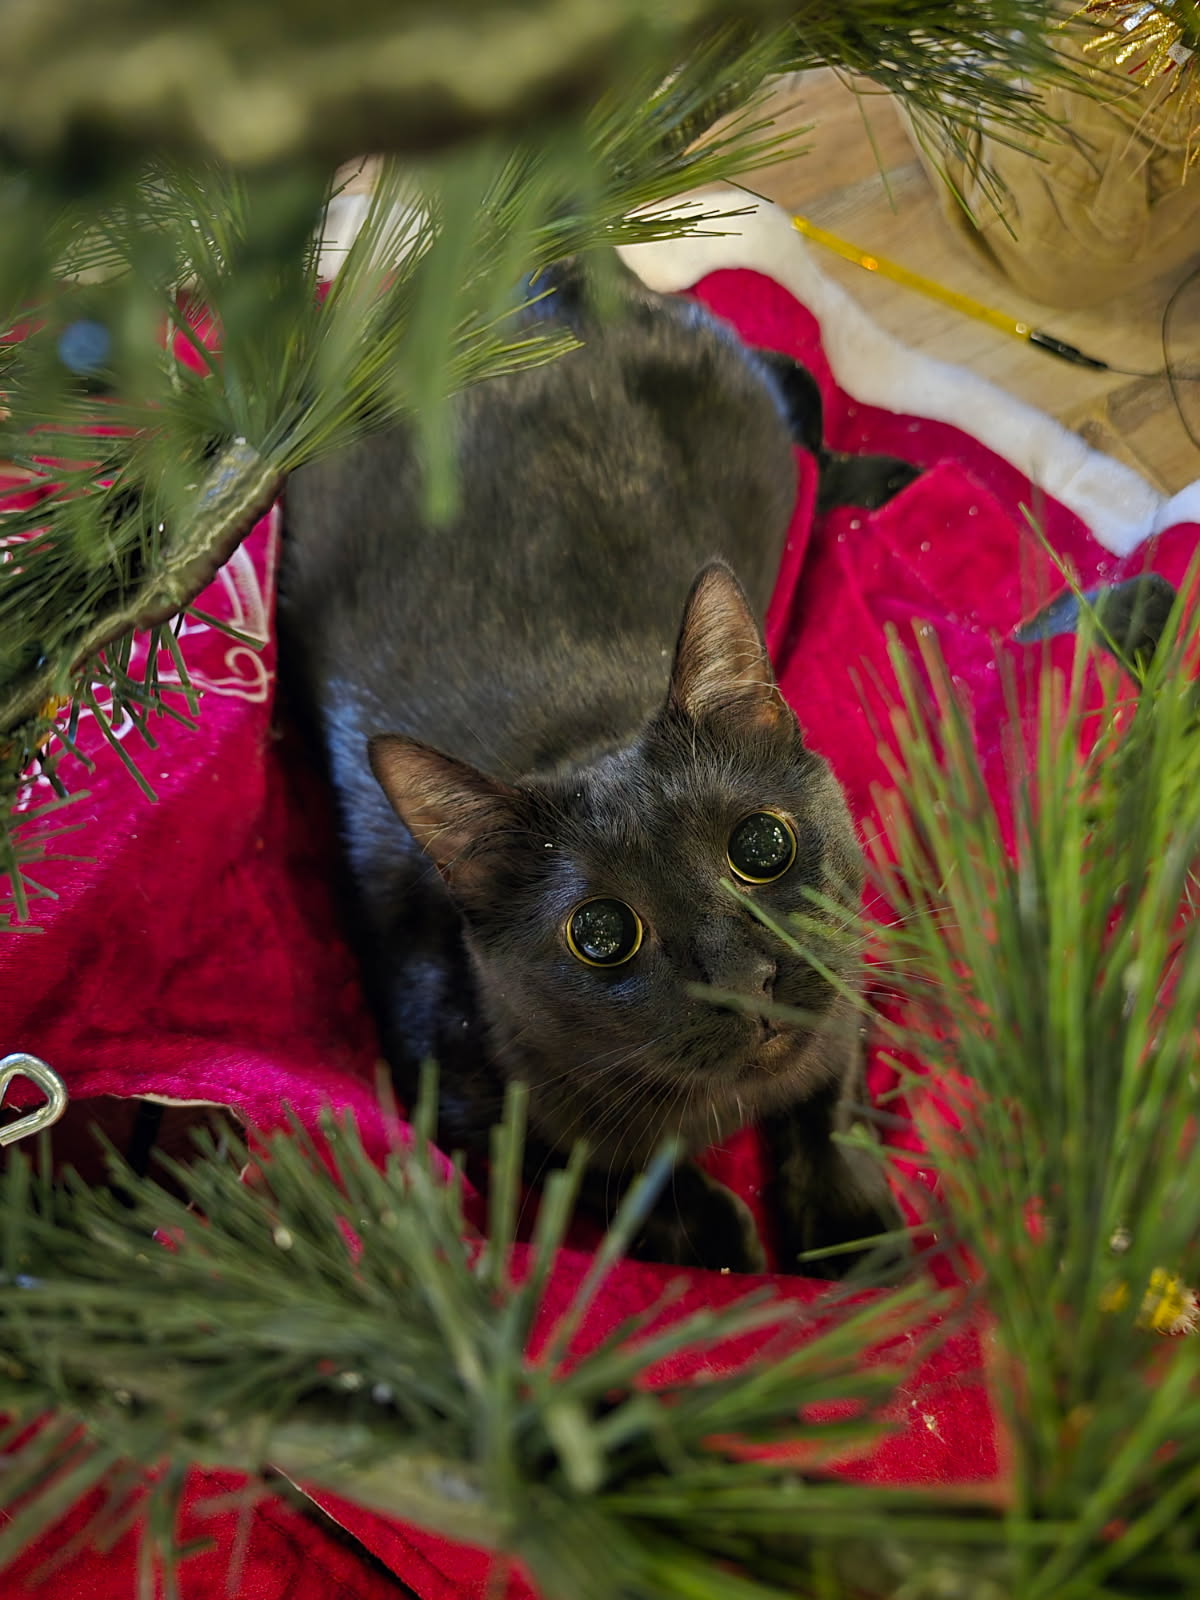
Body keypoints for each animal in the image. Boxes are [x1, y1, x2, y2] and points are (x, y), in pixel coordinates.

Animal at [278, 261, 915, 1275]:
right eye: (602, 934)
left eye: (763, 847)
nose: (744, 977)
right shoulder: (455, 1081)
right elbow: (602, 1168)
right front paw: (724, 1240)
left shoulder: (844, 965)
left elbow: (830, 1092)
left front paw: (855, 1240)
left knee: (802, 397)